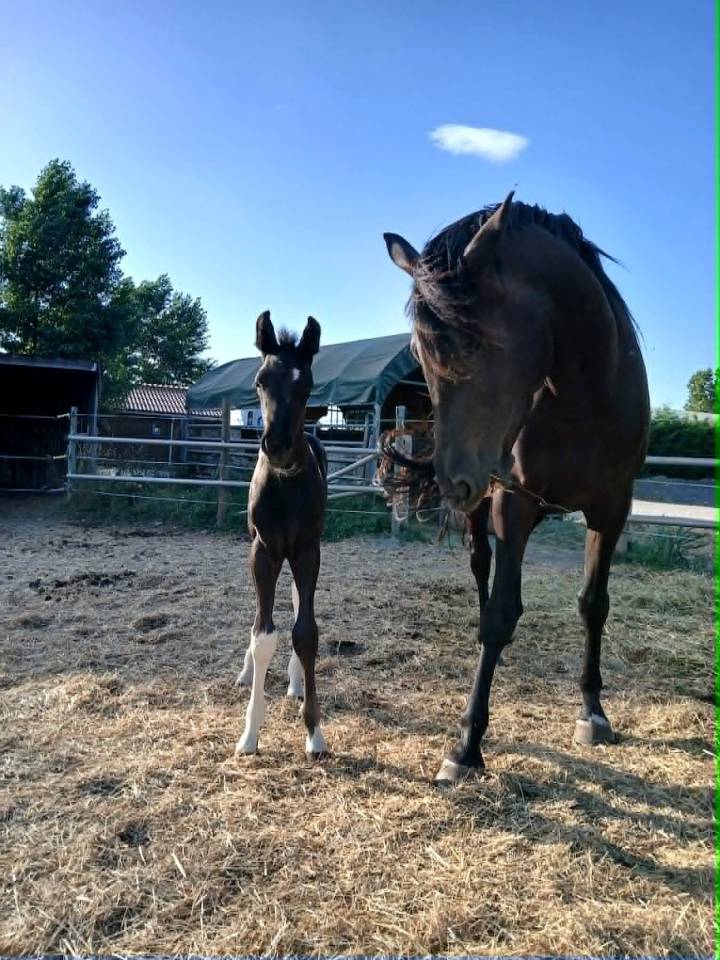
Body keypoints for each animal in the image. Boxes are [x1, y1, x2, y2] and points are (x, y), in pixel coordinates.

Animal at [382, 193, 650, 784]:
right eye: (420, 352)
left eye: (482, 342)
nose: (455, 479)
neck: (582, 399)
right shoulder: (514, 504)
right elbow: (501, 612)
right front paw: (465, 745)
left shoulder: (612, 507)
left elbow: (594, 604)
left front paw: (593, 711)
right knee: (482, 570)